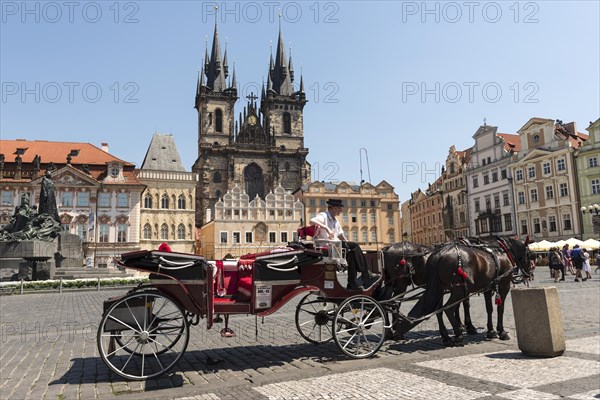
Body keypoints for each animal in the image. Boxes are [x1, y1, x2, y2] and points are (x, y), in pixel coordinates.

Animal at [398, 236, 528, 346]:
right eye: (529, 254)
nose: (529, 274)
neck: (502, 252)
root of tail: (439, 254)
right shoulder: (503, 286)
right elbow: (500, 309)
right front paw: (501, 332)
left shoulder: (487, 287)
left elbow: (489, 309)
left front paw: (490, 331)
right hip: (458, 289)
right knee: (448, 309)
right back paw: (458, 335)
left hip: (441, 289)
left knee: (439, 310)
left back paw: (448, 336)